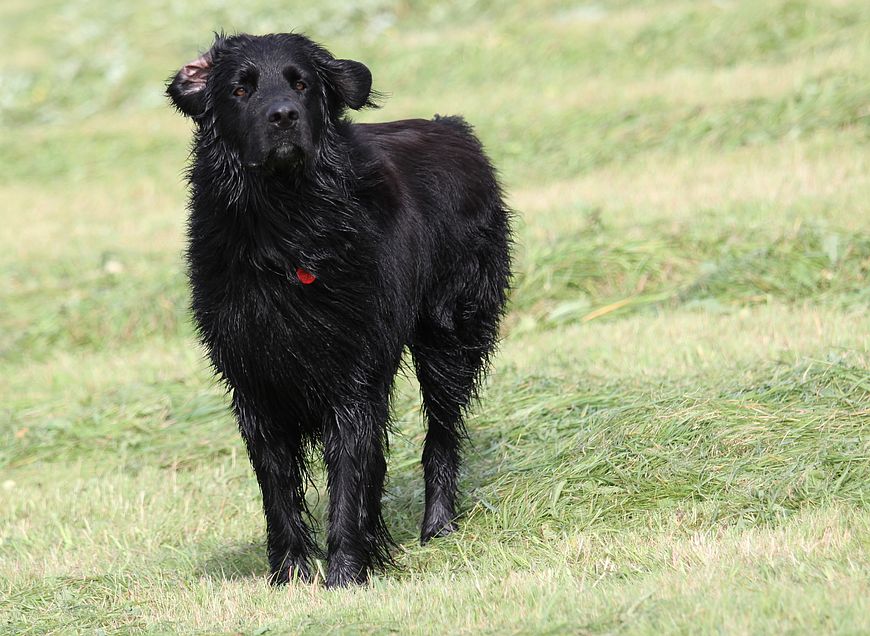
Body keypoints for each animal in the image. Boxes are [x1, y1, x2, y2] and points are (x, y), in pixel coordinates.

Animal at [166, 33, 511, 588]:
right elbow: (278, 487)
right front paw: (289, 575)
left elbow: (349, 479)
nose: (283, 116)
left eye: (301, 83)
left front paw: (347, 574)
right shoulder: (254, 384)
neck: (287, 230)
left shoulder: (355, 378)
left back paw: (438, 526)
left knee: (441, 435)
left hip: (451, 334)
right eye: (241, 88)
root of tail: (450, 127)